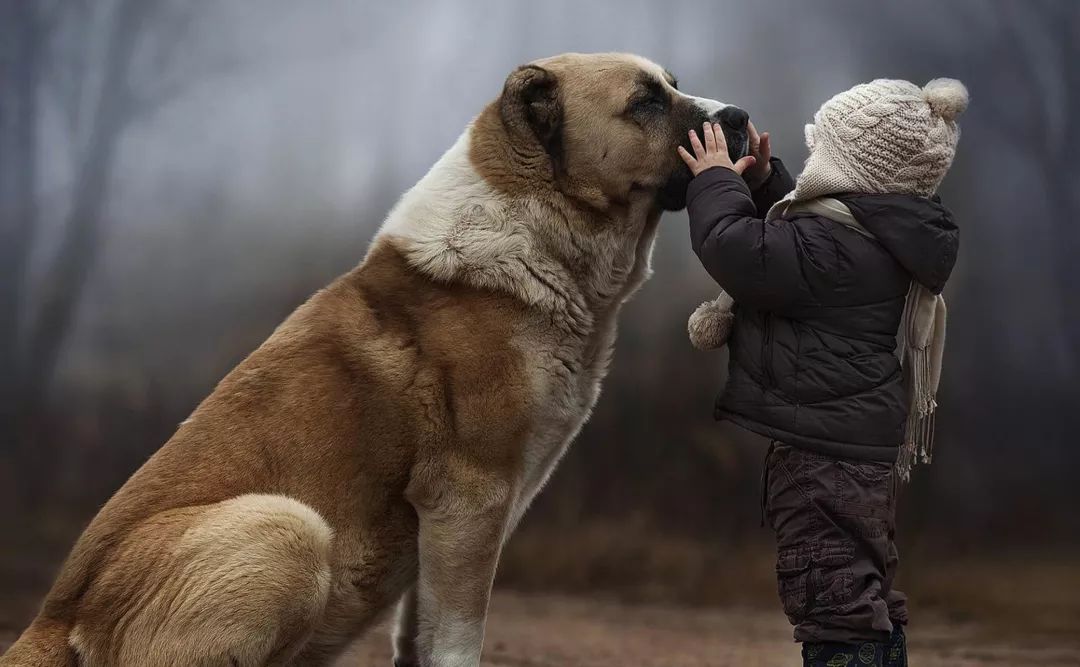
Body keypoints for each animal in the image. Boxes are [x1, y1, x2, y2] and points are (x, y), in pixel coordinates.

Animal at [2, 53, 743, 664]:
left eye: (672, 85)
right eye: (645, 102)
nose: (739, 116)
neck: (537, 233)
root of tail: (50, 620)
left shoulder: (446, 529)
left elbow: (418, 637)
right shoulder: (470, 500)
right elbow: (456, 641)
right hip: (289, 528)